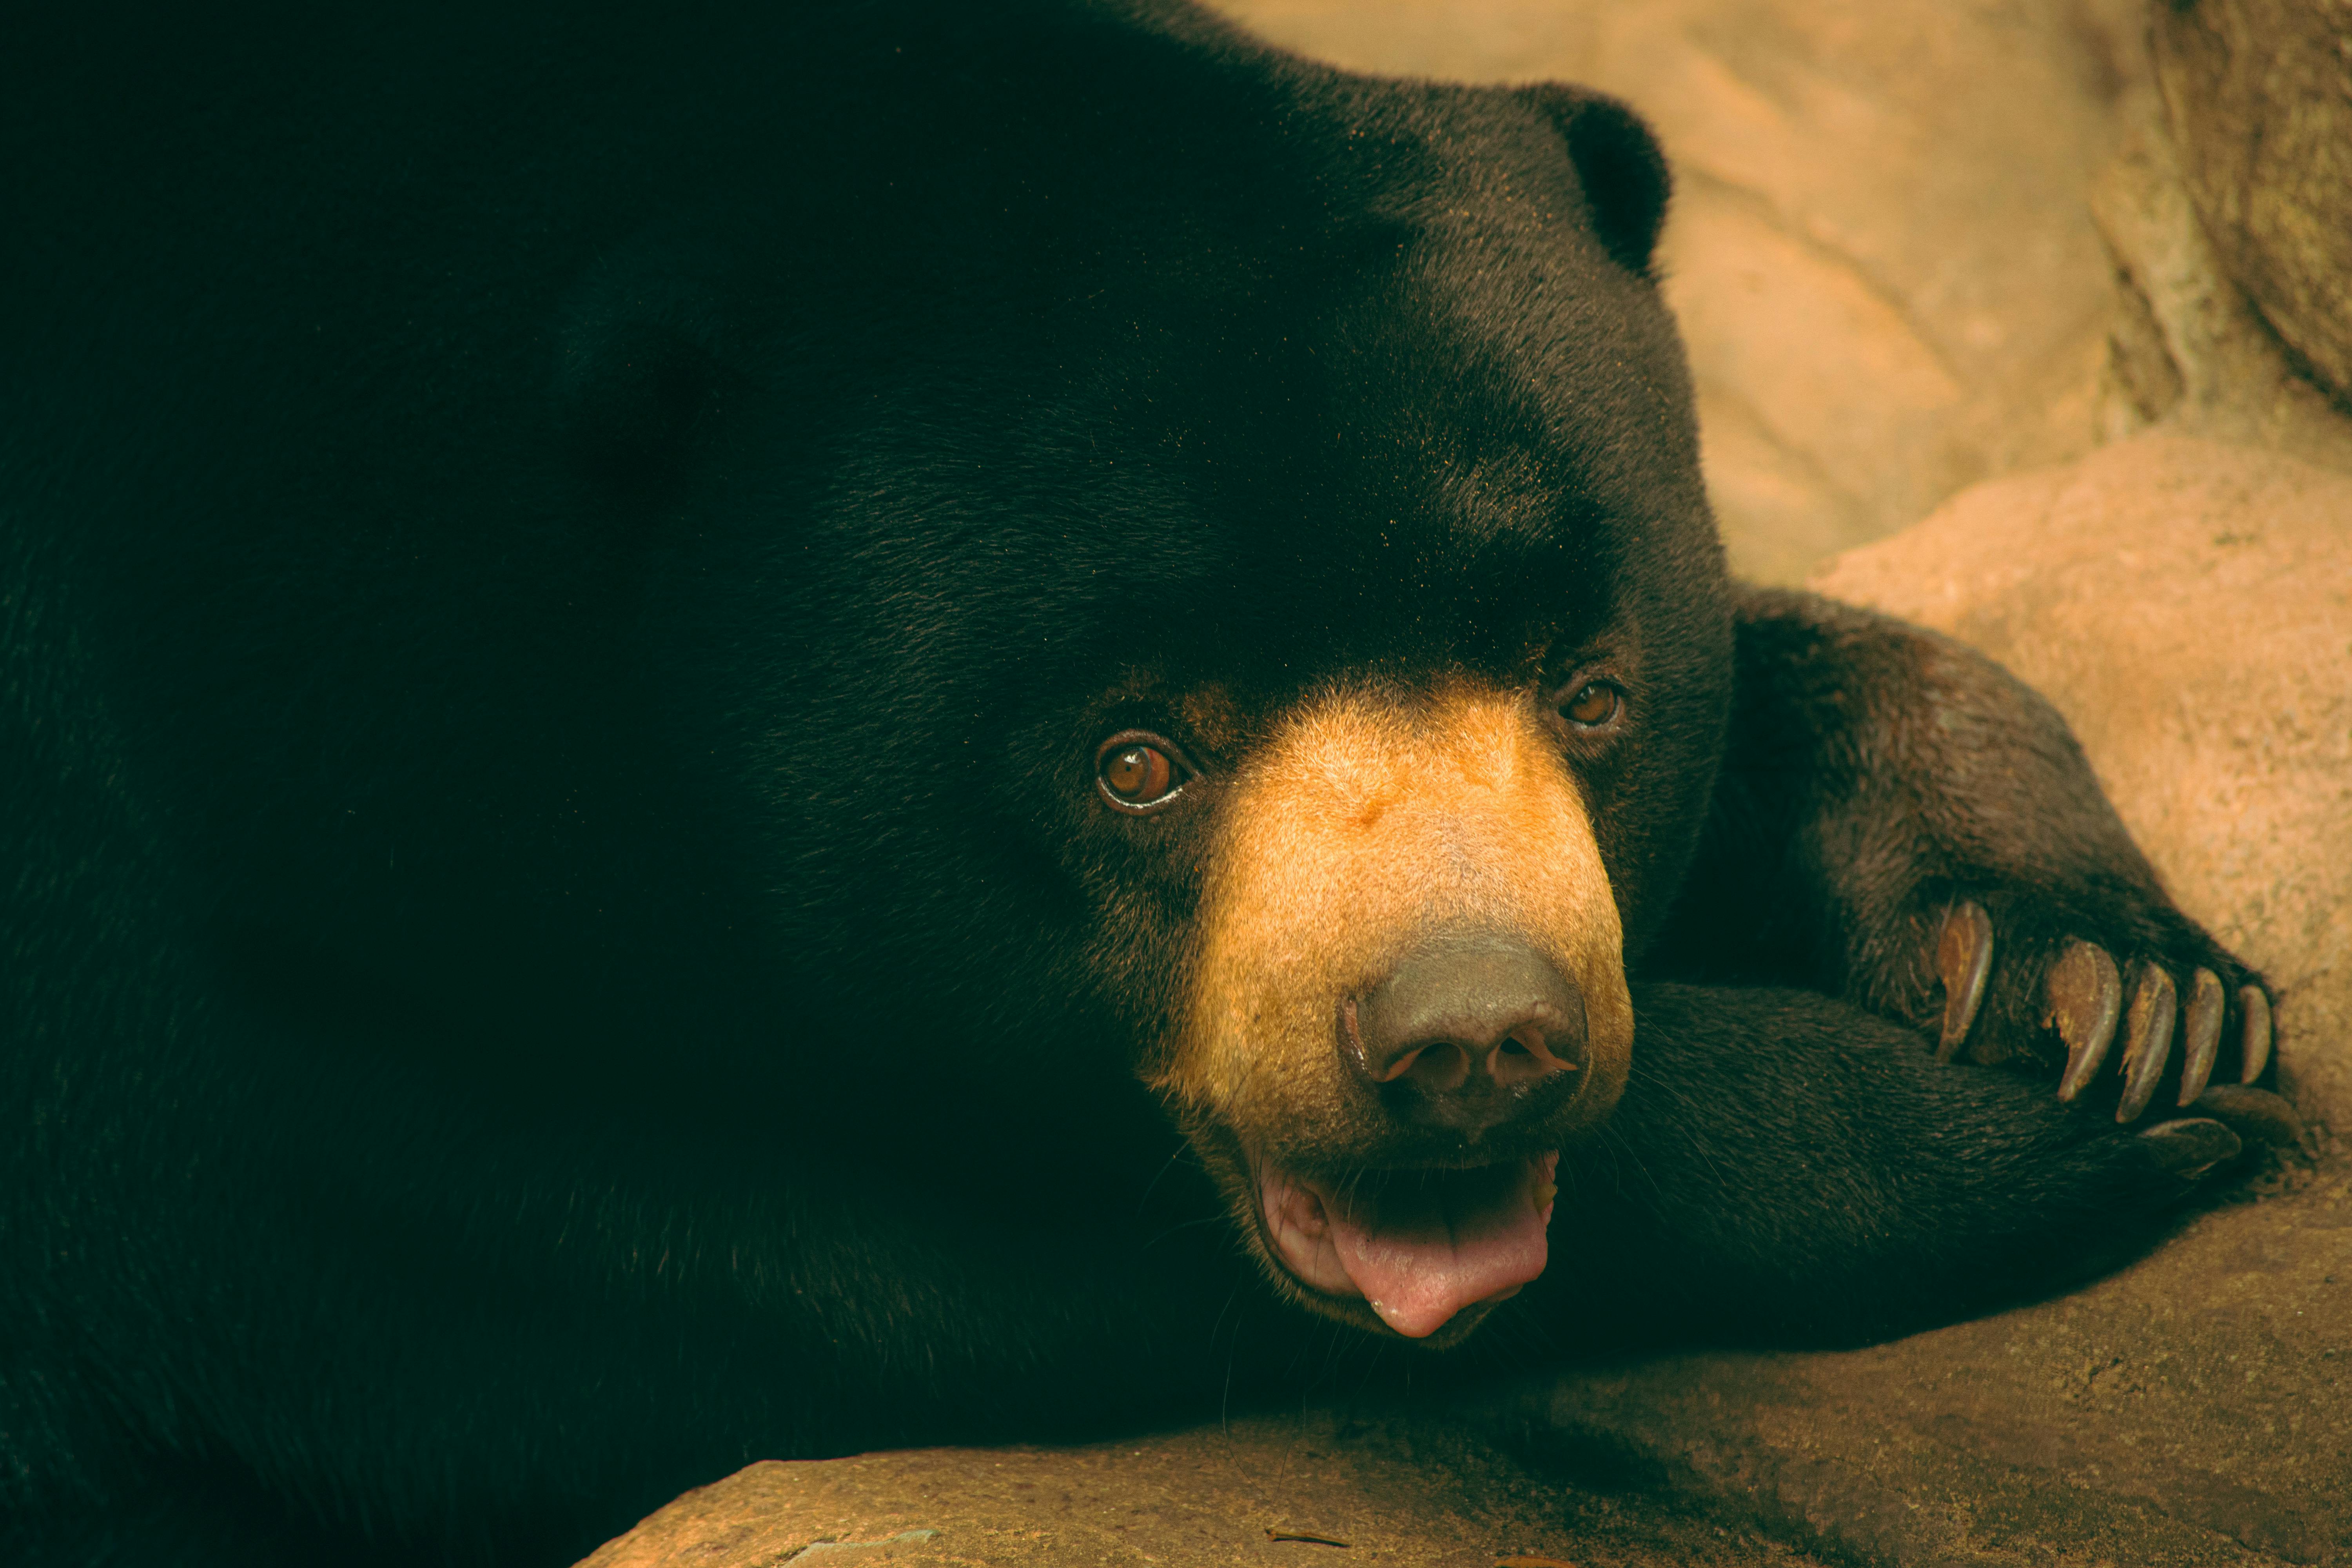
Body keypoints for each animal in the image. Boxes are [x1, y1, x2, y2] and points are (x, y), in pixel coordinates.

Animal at [0, 0, 2303, 1563]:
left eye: (1586, 693)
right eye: (1137, 761)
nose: (1479, 1037)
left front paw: (2106, 987)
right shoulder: (211, 934)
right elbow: (677, 1262)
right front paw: (2046, 1138)